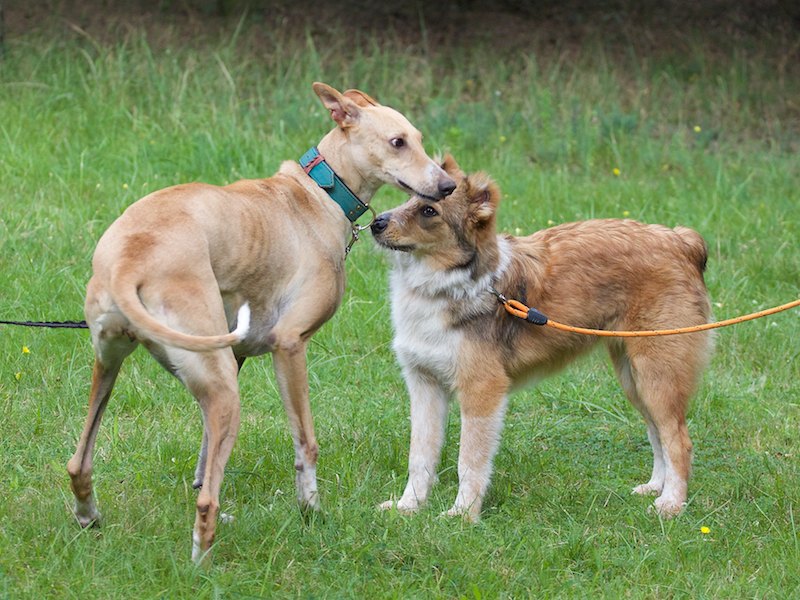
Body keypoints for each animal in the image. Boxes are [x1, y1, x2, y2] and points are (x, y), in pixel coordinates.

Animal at [66, 82, 456, 563]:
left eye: (418, 138)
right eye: (397, 142)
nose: (447, 186)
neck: (319, 192)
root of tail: (126, 260)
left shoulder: (234, 359)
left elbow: (204, 458)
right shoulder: (289, 346)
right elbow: (305, 443)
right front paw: (311, 511)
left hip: (117, 365)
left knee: (80, 463)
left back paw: (89, 516)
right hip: (221, 387)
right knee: (206, 503)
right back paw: (202, 561)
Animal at [371, 155, 713, 521]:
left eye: (429, 211)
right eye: (409, 197)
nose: (375, 223)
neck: (451, 284)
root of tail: (681, 241)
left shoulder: (482, 390)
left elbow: (470, 461)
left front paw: (463, 515)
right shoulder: (424, 385)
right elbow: (420, 456)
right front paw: (408, 506)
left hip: (657, 375)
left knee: (678, 440)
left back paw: (671, 503)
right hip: (635, 378)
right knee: (657, 433)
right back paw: (655, 488)